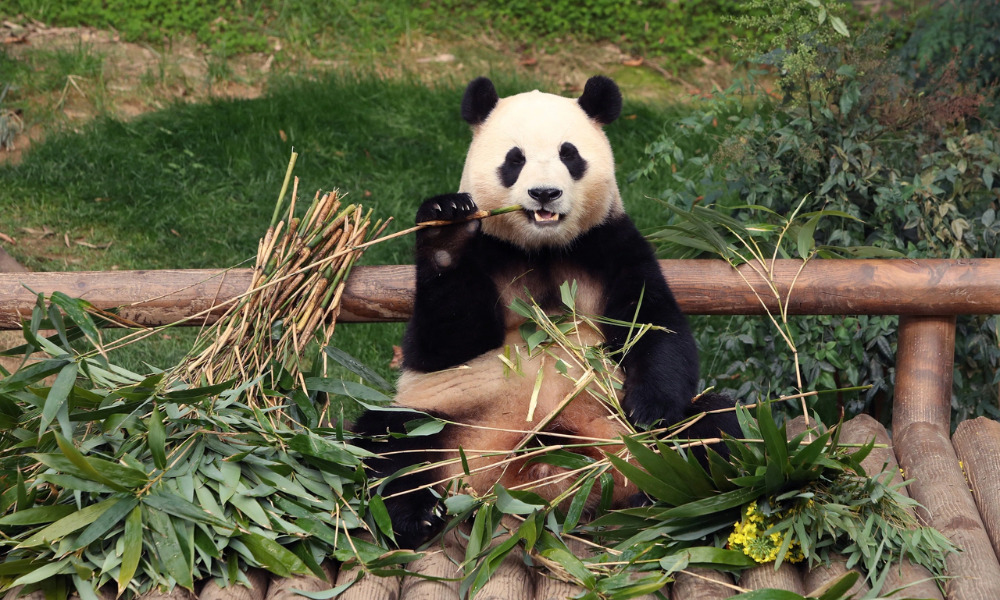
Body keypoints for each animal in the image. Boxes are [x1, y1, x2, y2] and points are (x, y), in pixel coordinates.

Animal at [353, 75, 738, 548]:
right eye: (514, 159)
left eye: (568, 154)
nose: (544, 194)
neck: (543, 248)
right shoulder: (489, 253)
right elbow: (442, 344)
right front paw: (446, 232)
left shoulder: (611, 244)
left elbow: (653, 324)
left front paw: (651, 408)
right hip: (447, 423)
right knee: (391, 444)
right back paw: (418, 516)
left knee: (712, 425)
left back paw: (671, 496)